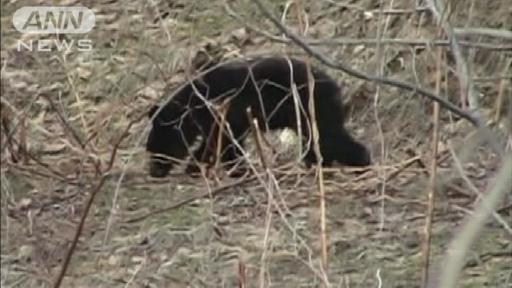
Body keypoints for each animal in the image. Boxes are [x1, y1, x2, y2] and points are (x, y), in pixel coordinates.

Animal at [146, 56, 370, 178]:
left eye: (156, 149)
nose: (153, 172)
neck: (195, 104)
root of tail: (336, 87)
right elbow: (221, 142)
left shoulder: (226, 113)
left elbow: (221, 142)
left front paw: (198, 166)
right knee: (319, 142)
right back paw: (317, 165)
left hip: (313, 109)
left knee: (332, 139)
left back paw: (361, 164)